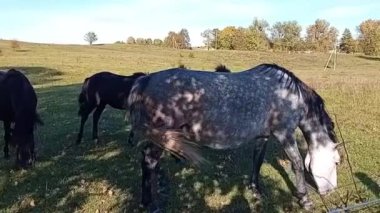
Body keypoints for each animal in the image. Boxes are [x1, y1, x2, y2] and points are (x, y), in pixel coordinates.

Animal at [128, 63, 342, 210]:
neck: (289, 96)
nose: (331, 191)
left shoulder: (263, 137)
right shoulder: (285, 134)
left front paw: (256, 189)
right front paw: (304, 199)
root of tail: (146, 80)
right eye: (337, 162)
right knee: (149, 161)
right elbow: (297, 164)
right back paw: (150, 203)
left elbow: (257, 160)